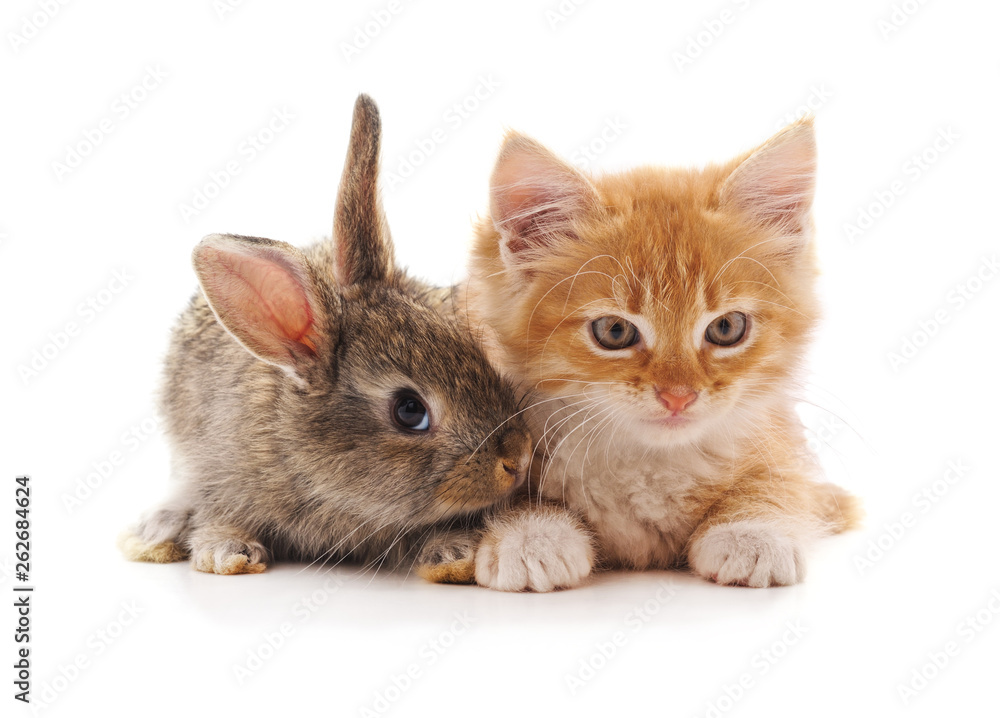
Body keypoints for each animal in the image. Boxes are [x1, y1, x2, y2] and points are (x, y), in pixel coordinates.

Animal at [117, 94, 534, 584]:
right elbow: (217, 518)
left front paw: (454, 554)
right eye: (409, 411)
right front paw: (227, 553)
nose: (518, 458)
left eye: (475, 351)